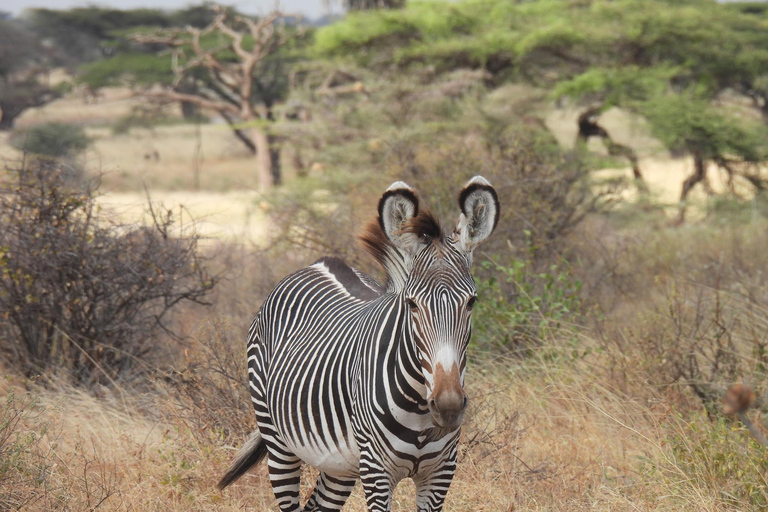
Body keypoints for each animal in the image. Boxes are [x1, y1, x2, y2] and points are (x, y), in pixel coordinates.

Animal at [219, 177, 500, 512]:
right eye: (411, 304)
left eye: (471, 302)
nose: (449, 405)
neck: (419, 411)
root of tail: (318, 263)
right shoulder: (377, 471)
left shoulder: (441, 473)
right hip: (278, 442)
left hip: (339, 463)